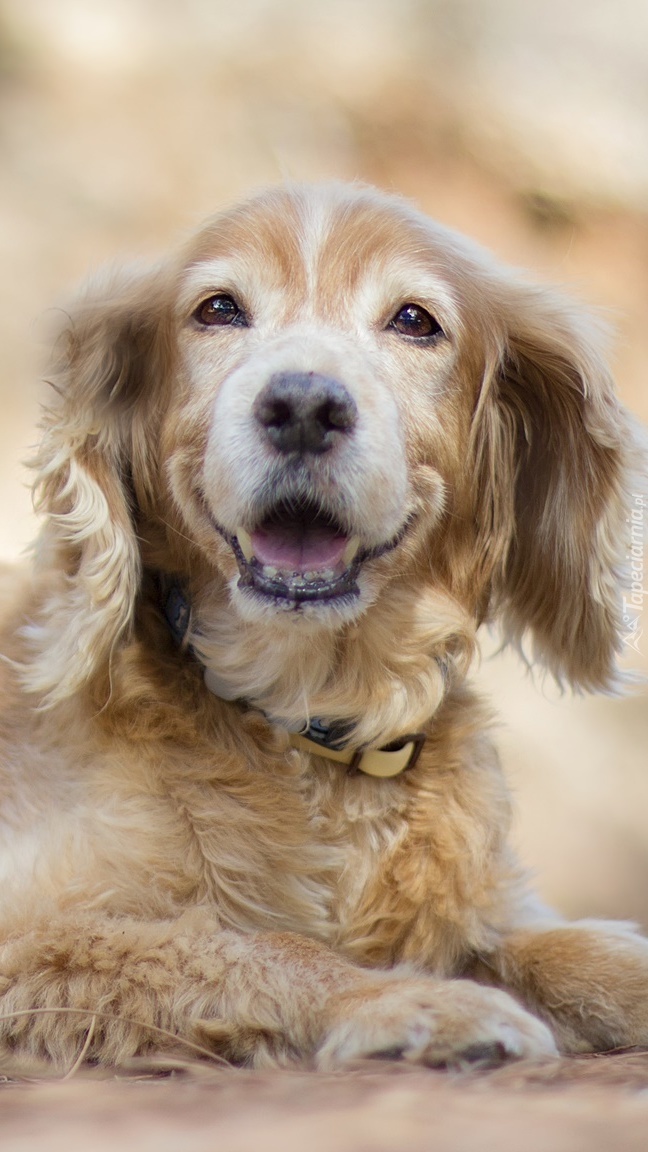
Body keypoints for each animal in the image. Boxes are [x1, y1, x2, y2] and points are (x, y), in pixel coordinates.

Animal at [0, 179, 641, 1069]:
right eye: (218, 309)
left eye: (414, 320)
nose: (303, 404)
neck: (310, 719)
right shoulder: (32, 936)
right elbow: (262, 946)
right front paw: (410, 1000)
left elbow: (569, 949)